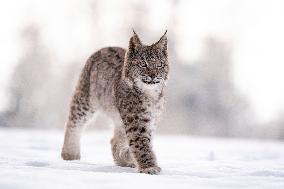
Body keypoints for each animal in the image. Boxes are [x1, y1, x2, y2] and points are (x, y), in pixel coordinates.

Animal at [60, 30, 169, 174]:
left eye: (160, 65)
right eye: (143, 64)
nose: (153, 75)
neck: (151, 94)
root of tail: (107, 47)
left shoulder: (150, 120)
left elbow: (144, 142)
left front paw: (136, 160)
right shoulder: (137, 121)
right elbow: (141, 144)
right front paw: (148, 167)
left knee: (114, 139)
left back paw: (124, 160)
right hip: (86, 99)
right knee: (73, 121)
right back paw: (70, 154)